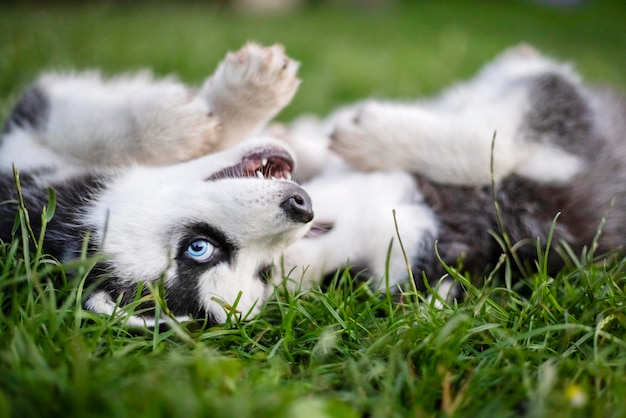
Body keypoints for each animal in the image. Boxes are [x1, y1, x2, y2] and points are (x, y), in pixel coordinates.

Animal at [0, 45, 312, 326]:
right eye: (199, 247)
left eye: (264, 271)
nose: (302, 206)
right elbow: (81, 125)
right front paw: (181, 124)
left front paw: (247, 96)